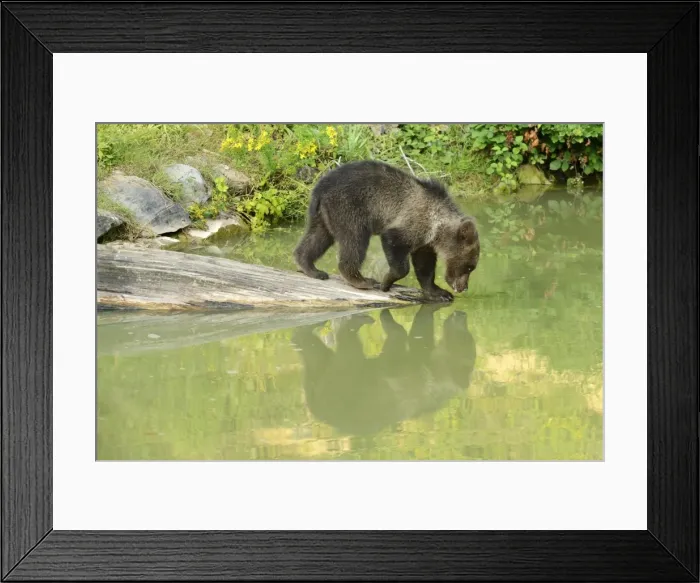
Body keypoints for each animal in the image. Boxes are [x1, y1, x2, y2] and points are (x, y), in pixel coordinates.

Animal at [293, 160, 480, 302]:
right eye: (469, 267)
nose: (463, 287)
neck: (437, 227)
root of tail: (321, 187)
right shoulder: (412, 222)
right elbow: (395, 246)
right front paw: (385, 283)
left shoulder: (424, 240)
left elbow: (424, 266)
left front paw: (439, 293)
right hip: (349, 207)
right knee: (355, 241)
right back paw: (362, 280)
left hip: (324, 213)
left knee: (318, 237)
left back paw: (312, 268)